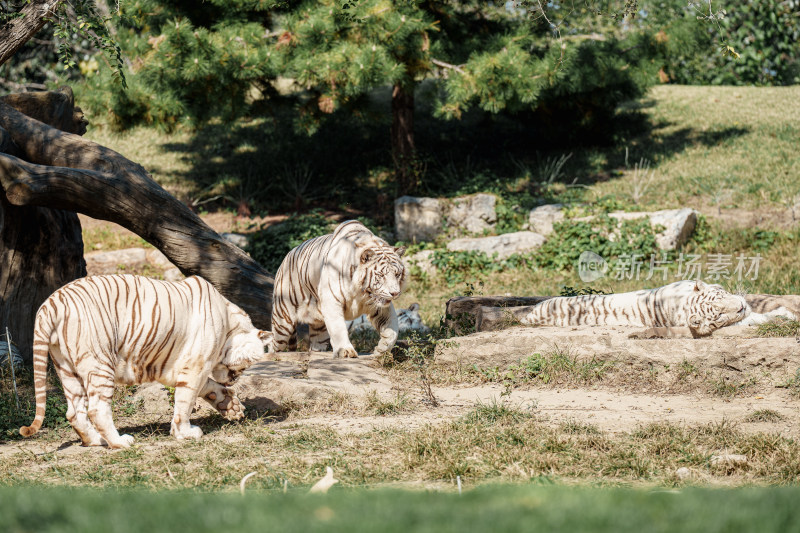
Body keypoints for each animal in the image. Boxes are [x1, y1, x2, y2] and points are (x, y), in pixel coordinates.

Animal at [20, 276, 270, 446]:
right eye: (246, 366)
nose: (235, 379)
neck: (229, 325)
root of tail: (51, 303)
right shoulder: (194, 366)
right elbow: (186, 401)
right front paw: (185, 433)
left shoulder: (174, 368)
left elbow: (204, 388)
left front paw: (231, 406)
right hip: (100, 364)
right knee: (97, 409)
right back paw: (120, 442)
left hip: (66, 369)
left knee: (75, 413)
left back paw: (96, 441)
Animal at [274, 220, 410, 358]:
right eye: (381, 275)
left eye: (397, 274)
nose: (395, 293)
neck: (360, 292)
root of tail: (288, 254)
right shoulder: (331, 301)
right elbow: (338, 327)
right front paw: (346, 351)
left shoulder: (379, 306)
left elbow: (393, 329)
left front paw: (381, 350)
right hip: (282, 322)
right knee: (274, 345)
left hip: (319, 328)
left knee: (316, 344)